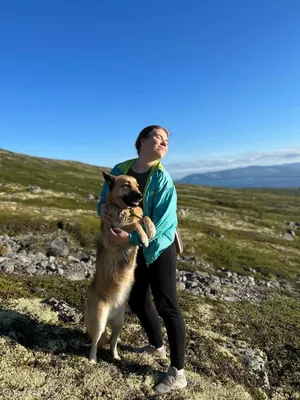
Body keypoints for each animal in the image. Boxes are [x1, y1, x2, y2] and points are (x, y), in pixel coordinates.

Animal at [84, 172, 156, 362]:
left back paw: (116, 357)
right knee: (95, 342)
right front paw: (144, 236)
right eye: (126, 185)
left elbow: (144, 217)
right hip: (99, 321)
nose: (140, 195)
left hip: (119, 324)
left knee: (112, 342)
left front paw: (151, 229)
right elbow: (134, 224)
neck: (123, 210)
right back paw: (92, 360)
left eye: (137, 185)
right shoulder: (115, 234)